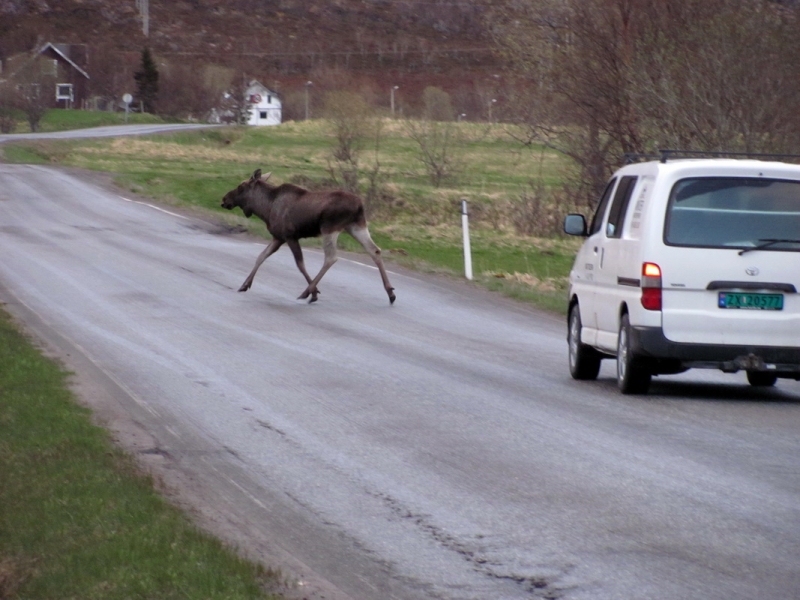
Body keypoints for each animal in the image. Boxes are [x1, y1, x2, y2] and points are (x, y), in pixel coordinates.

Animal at [220, 170, 396, 304]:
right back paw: (390, 293)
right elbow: (261, 256)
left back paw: (307, 292)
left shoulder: (290, 236)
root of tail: (359, 205)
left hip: (330, 228)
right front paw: (245, 285)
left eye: (240, 186)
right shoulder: (278, 237)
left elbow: (300, 264)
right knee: (375, 250)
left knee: (331, 258)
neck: (265, 209)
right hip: (356, 226)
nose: (224, 199)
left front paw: (314, 292)